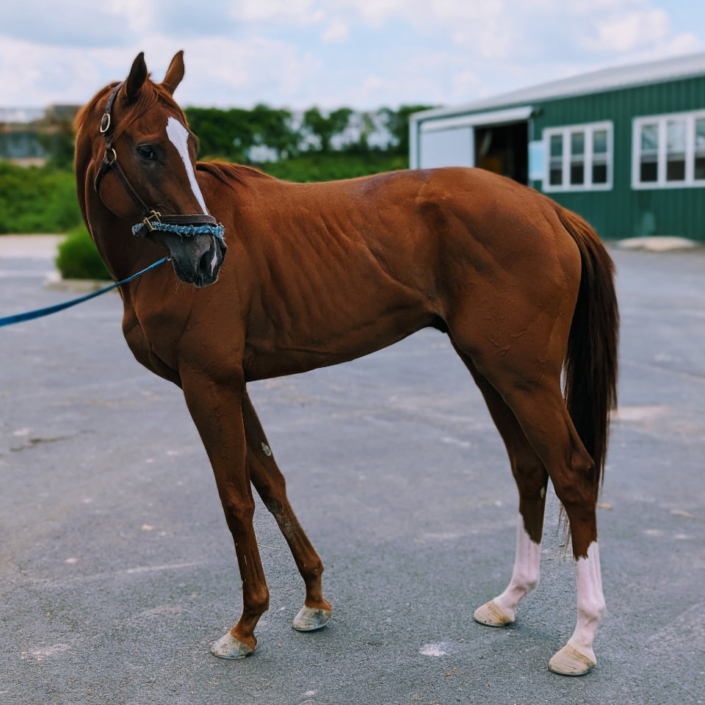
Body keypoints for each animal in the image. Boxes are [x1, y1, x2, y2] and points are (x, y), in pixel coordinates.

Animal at [73, 51, 618, 676]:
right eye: (147, 149)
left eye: (190, 144)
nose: (208, 257)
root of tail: (549, 209)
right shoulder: (232, 384)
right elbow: (272, 484)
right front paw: (312, 601)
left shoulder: (207, 383)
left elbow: (236, 497)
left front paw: (245, 626)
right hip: (491, 370)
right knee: (530, 469)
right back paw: (509, 602)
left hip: (524, 376)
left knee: (573, 473)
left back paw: (581, 639)